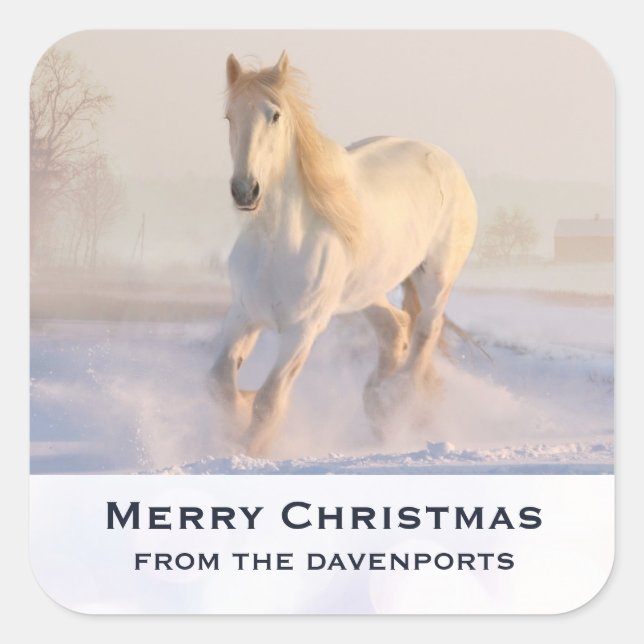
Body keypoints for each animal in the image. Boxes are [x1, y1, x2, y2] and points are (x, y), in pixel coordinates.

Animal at [210, 51, 477, 456]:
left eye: (275, 115)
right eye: (229, 116)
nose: (245, 190)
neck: (278, 244)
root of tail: (446, 162)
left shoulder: (303, 329)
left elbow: (269, 401)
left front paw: (251, 448)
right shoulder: (243, 314)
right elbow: (221, 383)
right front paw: (238, 415)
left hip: (436, 278)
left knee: (425, 333)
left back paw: (399, 402)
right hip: (364, 292)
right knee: (395, 327)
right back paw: (378, 404)